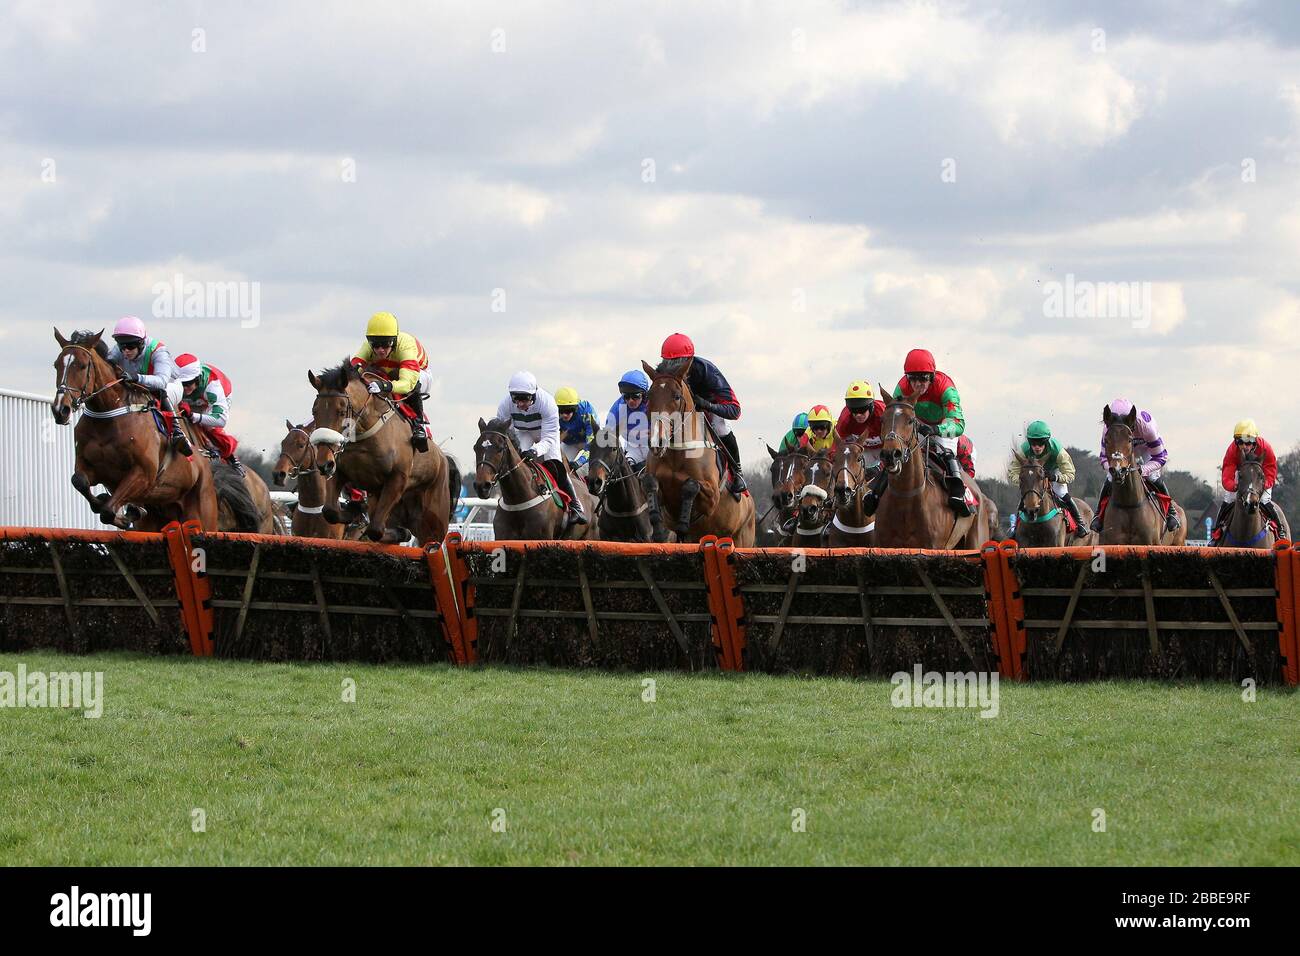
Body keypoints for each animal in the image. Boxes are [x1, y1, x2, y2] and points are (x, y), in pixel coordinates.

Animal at [48, 329, 218, 530]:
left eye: (82, 366)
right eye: (56, 365)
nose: (61, 409)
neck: (108, 416)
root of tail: (204, 462)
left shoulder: (144, 474)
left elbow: (107, 511)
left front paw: (123, 514)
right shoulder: (91, 467)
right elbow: (79, 481)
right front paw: (116, 506)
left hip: (203, 513)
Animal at [306, 358, 454, 541]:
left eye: (341, 412)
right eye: (315, 411)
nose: (323, 464)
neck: (365, 433)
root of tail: (443, 457)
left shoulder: (397, 478)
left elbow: (375, 529)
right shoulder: (340, 471)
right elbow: (330, 511)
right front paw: (353, 512)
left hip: (435, 520)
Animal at [637, 356, 754, 546]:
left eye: (677, 397)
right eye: (648, 396)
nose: (656, 441)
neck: (677, 453)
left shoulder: (712, 498)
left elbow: (691, 485)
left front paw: (683, 522)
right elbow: (650, 483)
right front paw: (659, 533)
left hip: (741, 537)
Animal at [873, 382, 982, 548]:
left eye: (911, 420)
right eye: (882, 420)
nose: (891, 454)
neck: (906, 499)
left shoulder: (934, 546)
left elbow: (956, 420)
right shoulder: (883, 544)